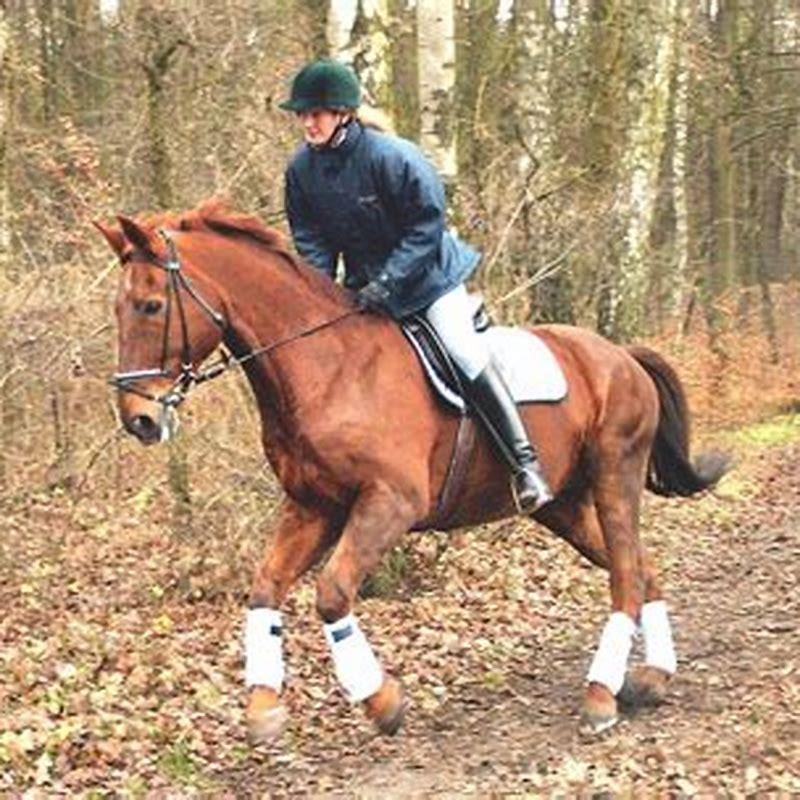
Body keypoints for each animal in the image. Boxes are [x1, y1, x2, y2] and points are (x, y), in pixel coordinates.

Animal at [96, 199, 727, 742]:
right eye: (118, 309)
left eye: (151, 306)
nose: (138, 420)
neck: (326, 368)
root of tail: (621, 356)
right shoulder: (312, 506)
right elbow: (266, 589)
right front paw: (263, 708)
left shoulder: (389, 502)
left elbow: (331, 594)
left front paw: (381, 701)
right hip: (564, 505)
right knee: (641, 568)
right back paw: (652, 678)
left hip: (615, 474)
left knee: (626, 577)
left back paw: (600, 695)